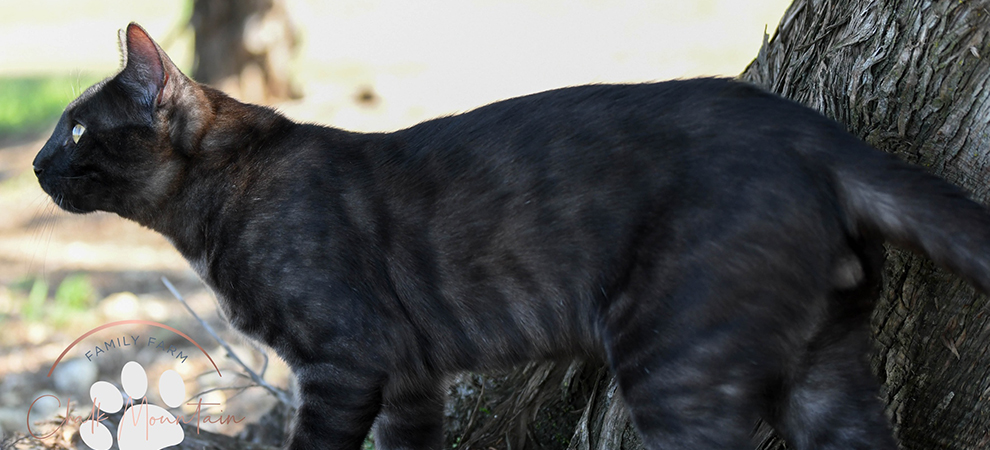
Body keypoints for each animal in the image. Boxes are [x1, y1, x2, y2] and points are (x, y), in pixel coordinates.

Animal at [35, 23, 990, 450]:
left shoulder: (342, 362)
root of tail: (812, 133)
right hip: (829, 372)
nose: (38, 160)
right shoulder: (409, 379)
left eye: (78, 129)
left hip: (681, 364)